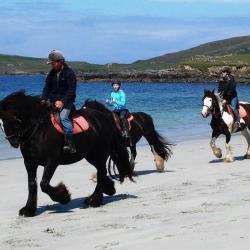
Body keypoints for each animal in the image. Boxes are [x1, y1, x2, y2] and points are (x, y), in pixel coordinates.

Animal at [0, 91, 134, 216]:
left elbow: (44, 184)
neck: (38, 130)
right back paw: (106, 190)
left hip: (99, 154)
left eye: (13, 119)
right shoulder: (29, 162)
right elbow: (32, 184)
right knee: (101, 172)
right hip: (91, 155)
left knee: (101, 173)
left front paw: (64, 196)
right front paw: (28, 209)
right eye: (1, 122)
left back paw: (94, 200)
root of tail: (105, 117)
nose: (13, 141)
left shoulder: (52, 161)